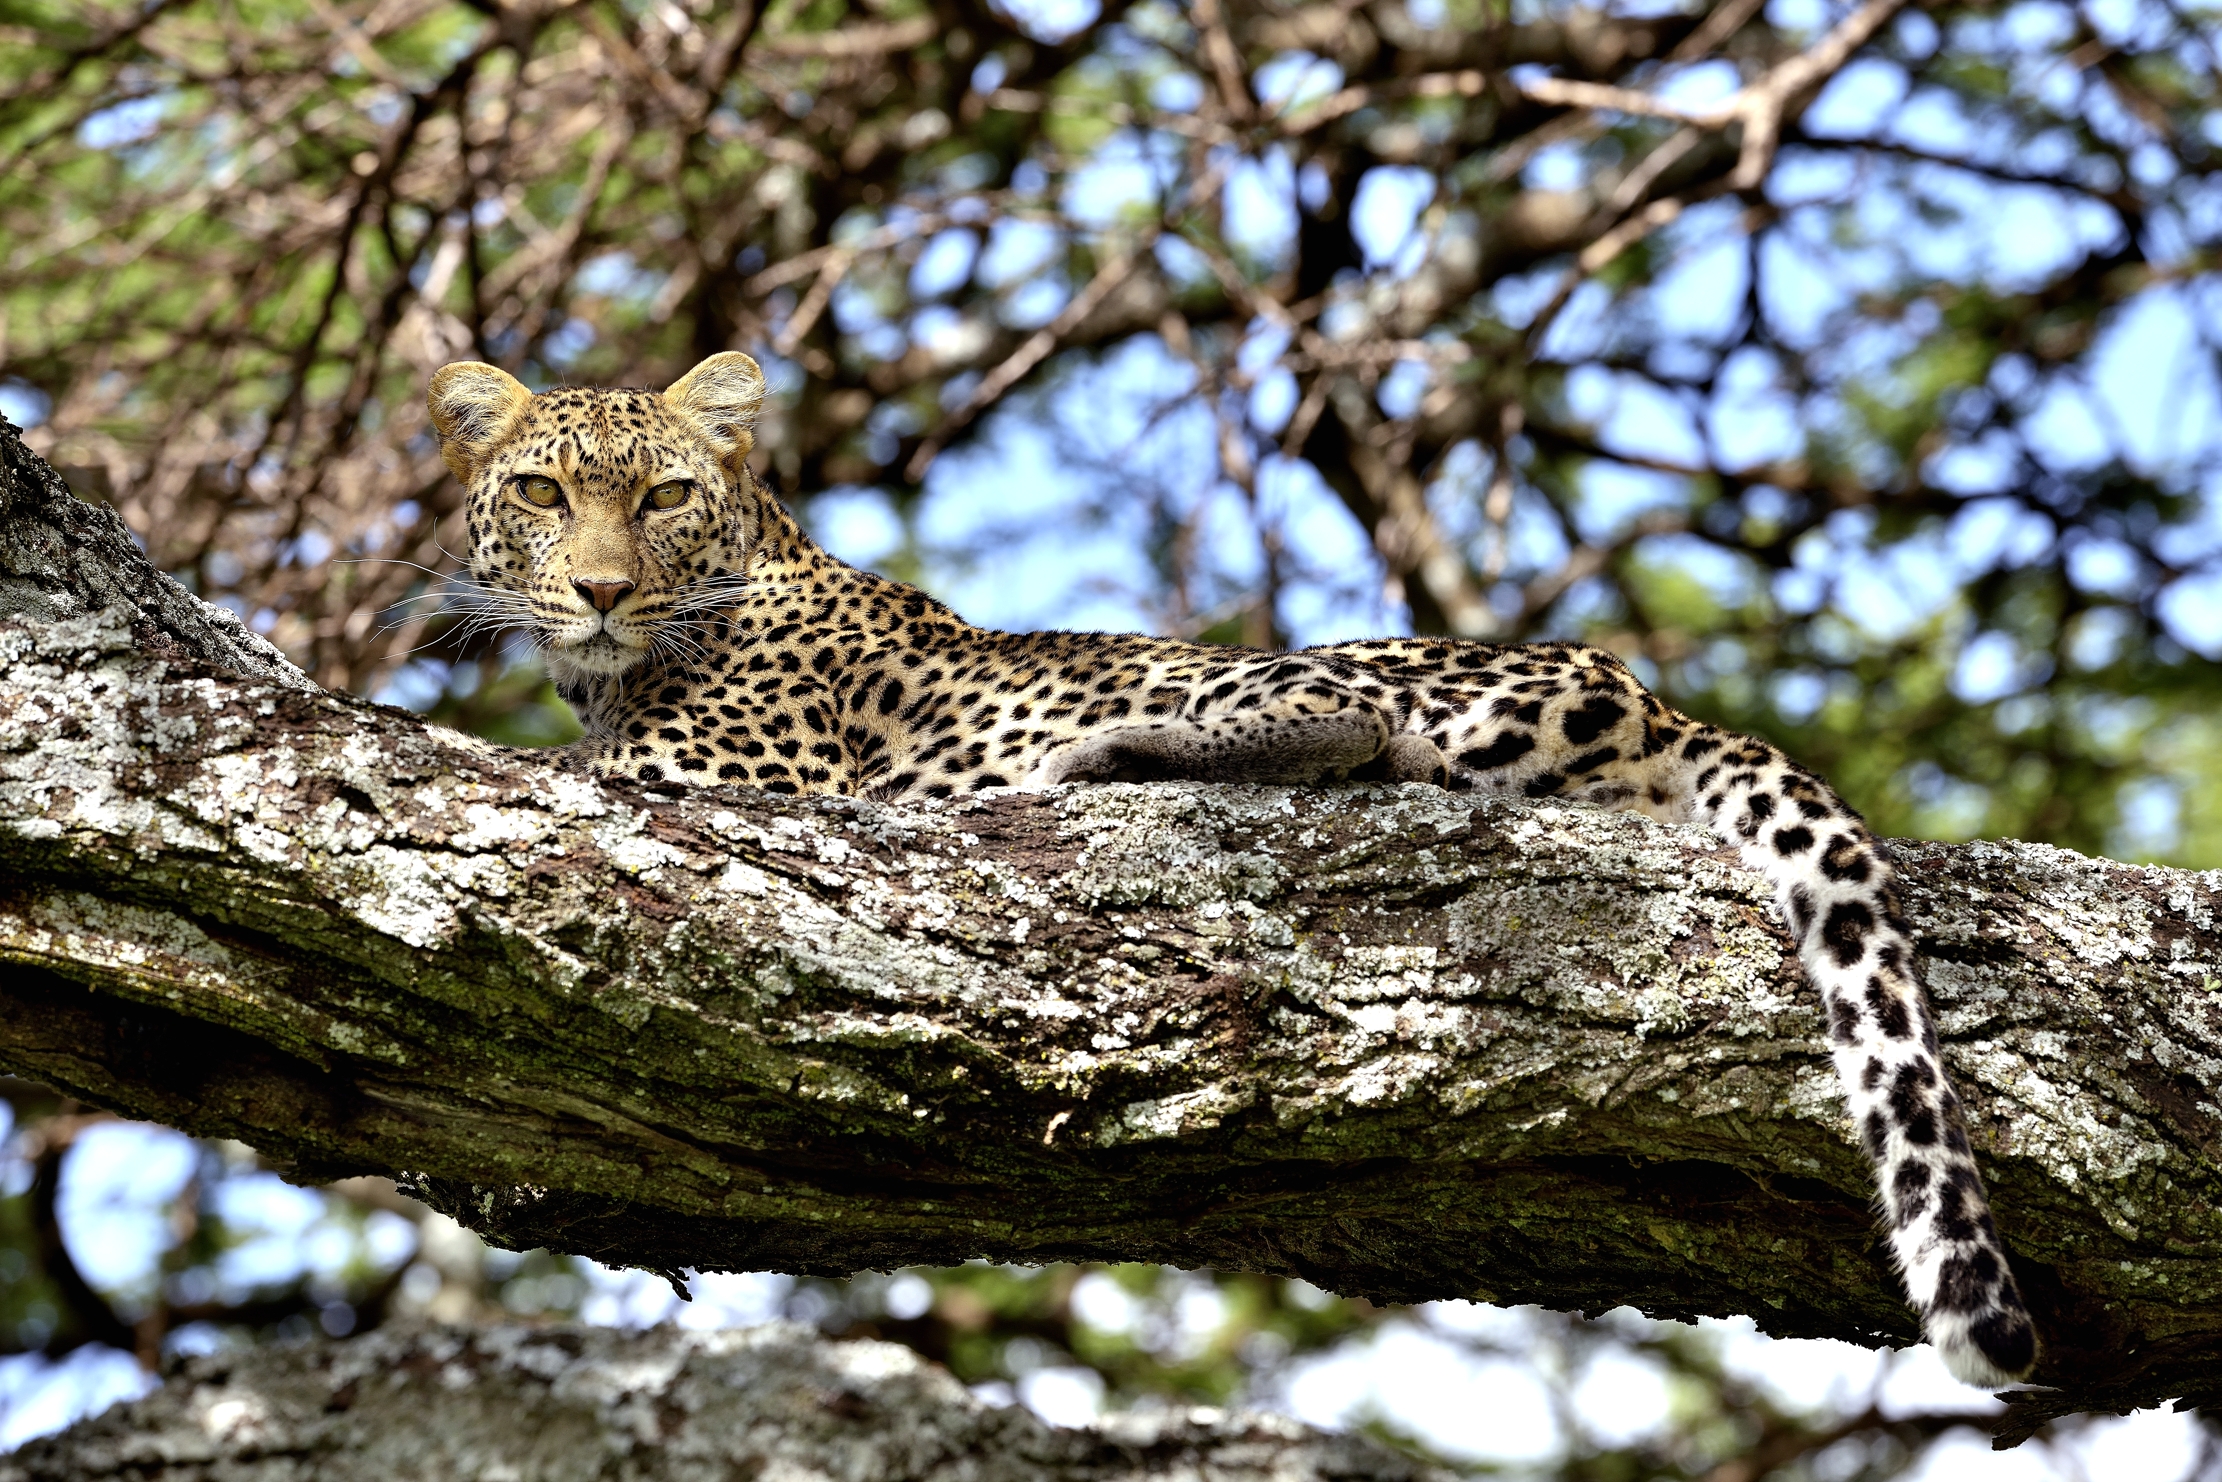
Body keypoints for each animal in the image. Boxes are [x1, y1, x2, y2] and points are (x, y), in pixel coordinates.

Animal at [427, 350, 2039, 1387]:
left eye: (658, 498)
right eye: (543, 492)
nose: (599, 591)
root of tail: (1644, 696)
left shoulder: (746, 778)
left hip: (1315, 667)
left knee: (1353, 728)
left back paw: (1100, 759)